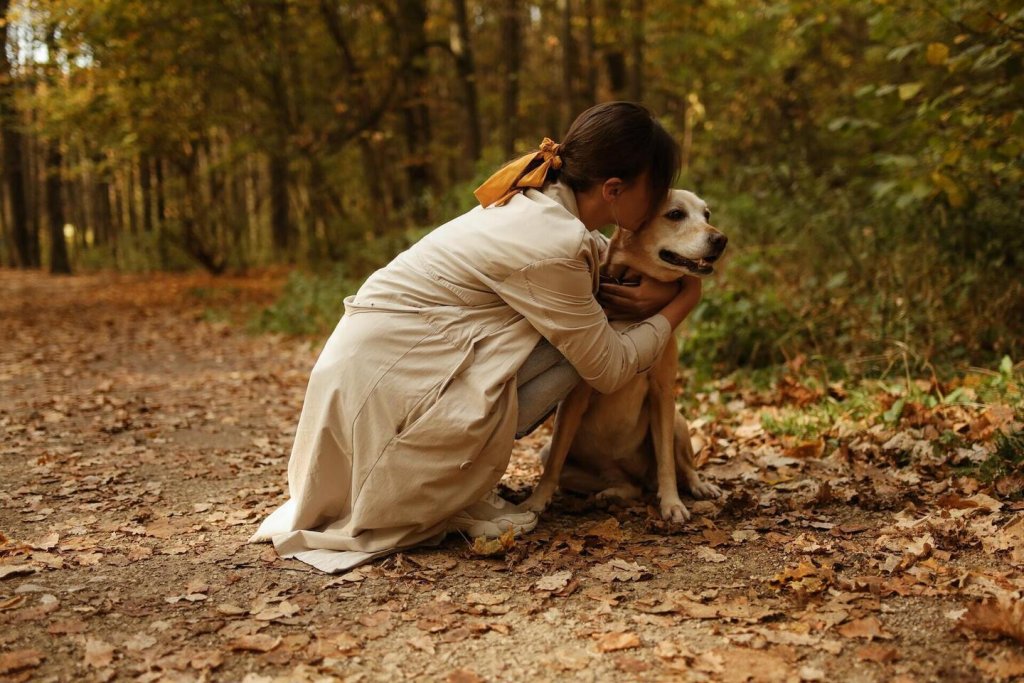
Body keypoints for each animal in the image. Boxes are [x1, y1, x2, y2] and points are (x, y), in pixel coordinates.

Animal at [528, 189, 729, 520]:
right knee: (626, 485)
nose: (721, 239)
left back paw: (699, 486)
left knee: (683, 466)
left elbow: (666, 462)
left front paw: (672, 503)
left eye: (707, 214)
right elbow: (555, 460)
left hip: (677, 422)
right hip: (570, 459)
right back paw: (611, 494)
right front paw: (536, 501)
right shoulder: (573, 399)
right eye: (675, 214)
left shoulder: (662, 393)